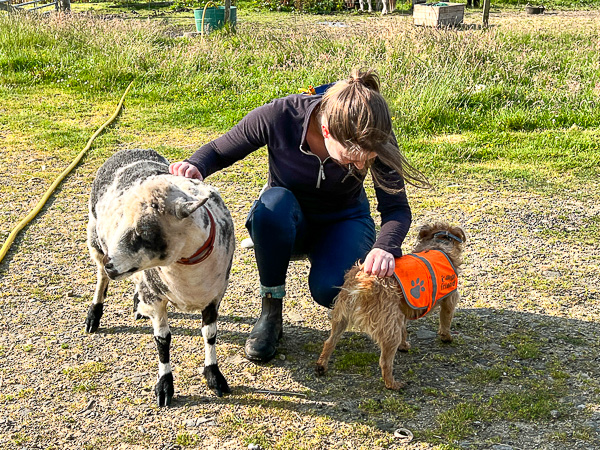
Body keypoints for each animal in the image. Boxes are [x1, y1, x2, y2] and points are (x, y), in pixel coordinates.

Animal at [316, 222, 466, 390]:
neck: (438, 243)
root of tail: (364, 281)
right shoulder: (450, 298)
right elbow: (446, 320)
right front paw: (446, 337)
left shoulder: (402, 310)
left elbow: (404, 330)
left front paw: (404, 345)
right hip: (388, 327)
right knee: (385, 361)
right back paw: (392, 383)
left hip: (342, 315)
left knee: (330, 341)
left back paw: (321, 365)